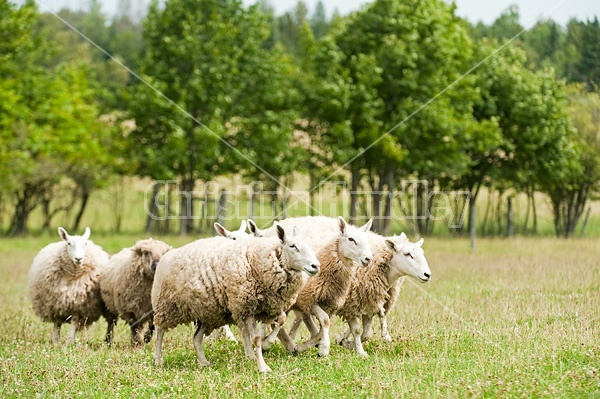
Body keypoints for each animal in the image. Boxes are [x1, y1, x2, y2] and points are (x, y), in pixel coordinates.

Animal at [152, 227, 322, 374]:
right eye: (293, 246)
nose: (316, 266)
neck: (258, 260)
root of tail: (167, 255)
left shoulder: (266, 307)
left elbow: (282, 320)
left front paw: (267, 343)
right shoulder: (246, 306)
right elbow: (256, 339)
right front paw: (263, 366)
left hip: (207, 312)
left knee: (196, 338)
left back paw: (204, 362)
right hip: (166, 306)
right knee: (160, 331)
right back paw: (158, 359)